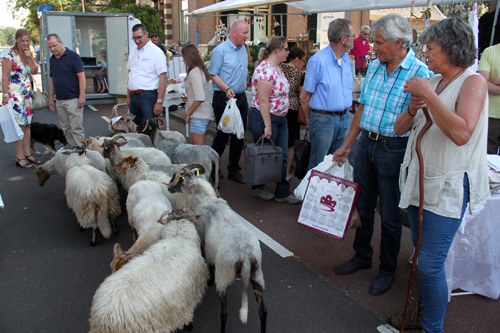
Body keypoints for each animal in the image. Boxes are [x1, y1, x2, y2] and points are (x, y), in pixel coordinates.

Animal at [166, 164, 268, 332]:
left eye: (176, 177)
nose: (169, 189)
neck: (206, 200)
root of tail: (245, 255)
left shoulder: (204, 240)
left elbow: (209, 261)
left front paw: (209, 280)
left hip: (224, 277)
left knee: (224, 313)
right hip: (257, 275)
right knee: (263, 311)